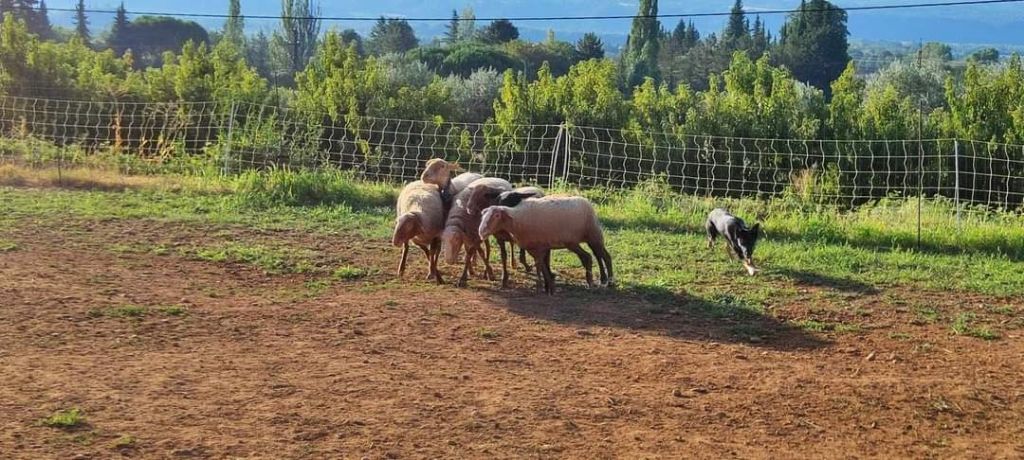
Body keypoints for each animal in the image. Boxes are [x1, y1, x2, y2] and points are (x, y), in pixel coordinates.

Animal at [477, 193, 610, 295]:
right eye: (483, 215)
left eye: (497, 215)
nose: (481, 232)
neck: (517, 219)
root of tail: (585, 200)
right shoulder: (536, 248)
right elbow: (542, 266)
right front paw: (548, 286)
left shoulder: (540, 247)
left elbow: (540, 267)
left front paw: (542, 286)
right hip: (578, 241)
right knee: (591, 256)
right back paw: (595, 281)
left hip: (592, 235)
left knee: (601, 256)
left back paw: (607, 282)